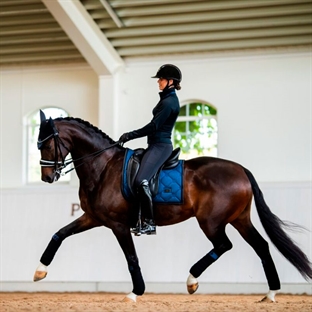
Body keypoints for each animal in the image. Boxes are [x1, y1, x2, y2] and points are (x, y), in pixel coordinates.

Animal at [33, 111, 310, 302]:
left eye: (46, 144)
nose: (47, 177)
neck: (103, 167)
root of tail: (241, 169)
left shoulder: (117, 224)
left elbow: (131, 257)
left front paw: (135, 293)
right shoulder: (93, 218)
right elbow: (59, 234)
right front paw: (39, 272)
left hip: (211, 221)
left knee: (224, 245)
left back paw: (191, 280)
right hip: (239, 219)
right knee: (261, 246)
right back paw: (271, 294)